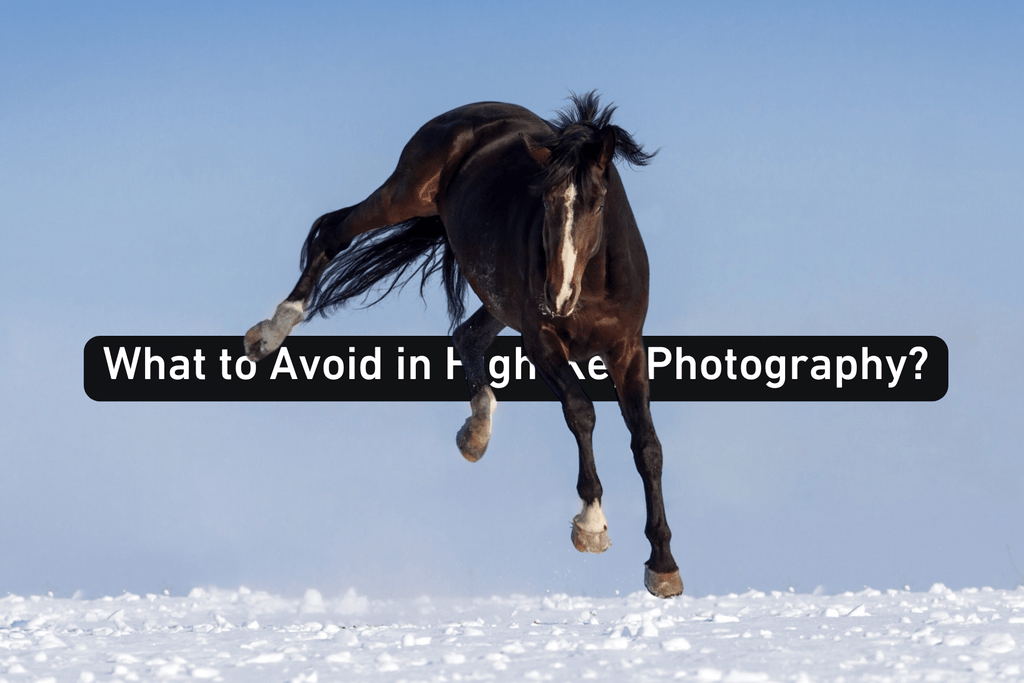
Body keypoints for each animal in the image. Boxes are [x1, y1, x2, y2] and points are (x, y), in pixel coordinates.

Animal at [243, 92, 684, 598]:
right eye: (548, 199)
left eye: (597, 203)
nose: (557, 297)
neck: (592, 285)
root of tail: (471, 112)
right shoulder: (541, 341)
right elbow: (582, 412)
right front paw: (592, 525)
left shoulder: (627, 350)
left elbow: (647, 446)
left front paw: (663, 565)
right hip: (406, 195)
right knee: (334, 231)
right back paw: (270, 333)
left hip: (496, 295)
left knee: (466, 336)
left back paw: (476, 432)